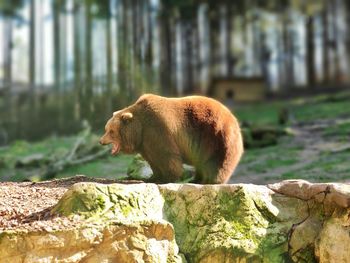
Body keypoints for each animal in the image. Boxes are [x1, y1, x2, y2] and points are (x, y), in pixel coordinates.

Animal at [98, 94, 243, 184]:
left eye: (111, 131)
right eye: (106, 129)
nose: (101, 141)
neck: (139, 129)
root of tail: (232, 117)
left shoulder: (157, 129)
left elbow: (167, 155)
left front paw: (167, 178)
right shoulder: (146, 143)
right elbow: (153, 160)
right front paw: (152, 177)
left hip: (216, 134)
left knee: (218, 160)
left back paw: (212, 180)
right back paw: (196, 179)